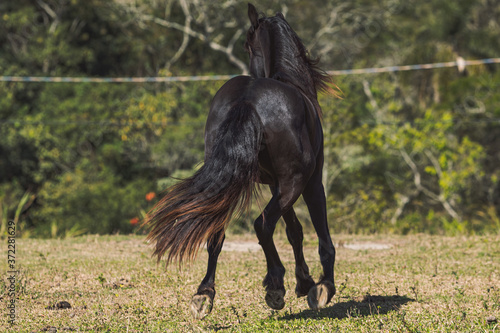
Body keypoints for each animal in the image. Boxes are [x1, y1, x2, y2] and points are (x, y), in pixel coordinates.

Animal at [146, 3, 338, 318]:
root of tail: (247, 99)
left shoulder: (277, 185)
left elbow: (294, 231)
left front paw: (304, 281)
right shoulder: (310, 183)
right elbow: (320, 235)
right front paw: (321, 286)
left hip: (232, 183)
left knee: (218, 232)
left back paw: (205, 293)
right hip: (294, 183)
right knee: (262, 225)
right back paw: (275, 285)